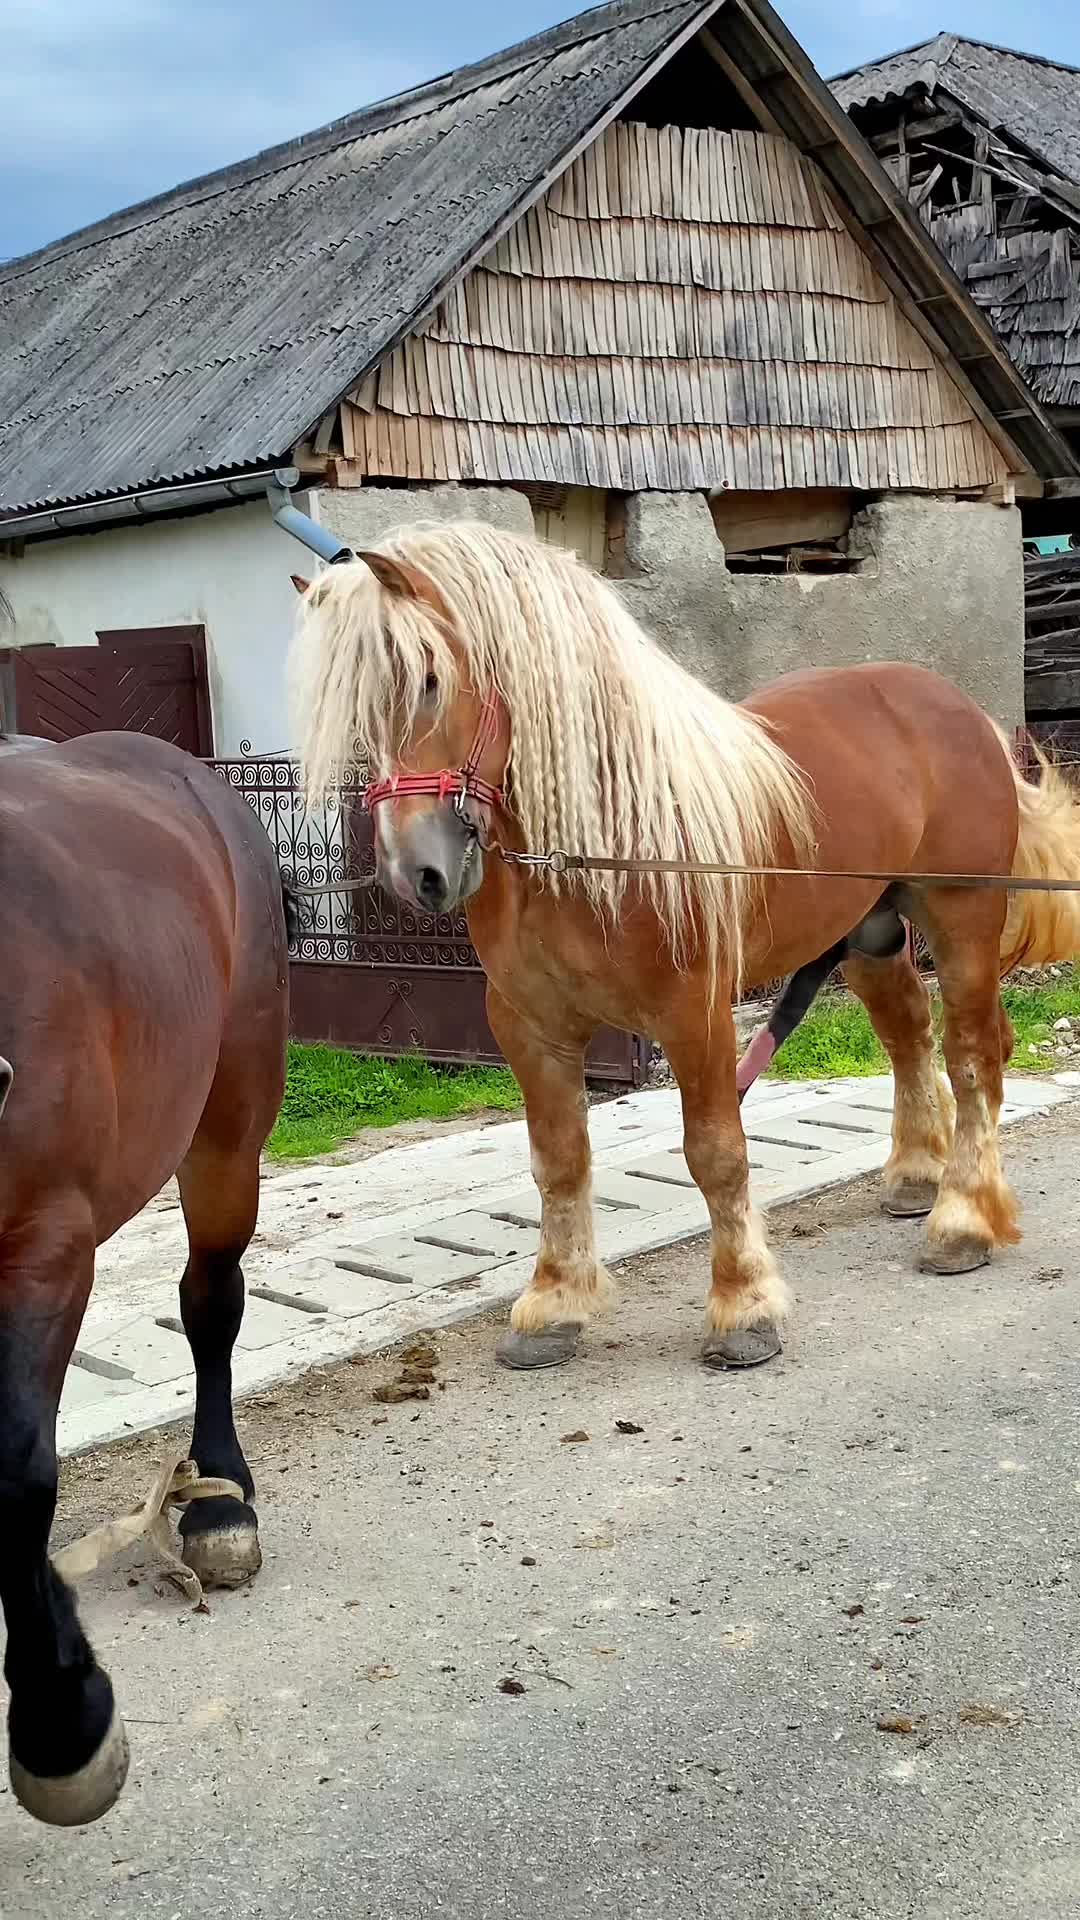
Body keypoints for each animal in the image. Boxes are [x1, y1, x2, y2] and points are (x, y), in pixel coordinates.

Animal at [0, 733, 290, 1827]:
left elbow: (14, 1471)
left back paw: (216, 1503)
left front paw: (61, 1717)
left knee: (211, 1304)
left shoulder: (43, 1242)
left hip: (227, 1129)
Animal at [292, 518, 1076, 1374]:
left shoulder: (693, 1017)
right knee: (909, 1034)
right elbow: (558, 1160)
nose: (418, 873)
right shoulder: (529, 1027)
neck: (597, 849)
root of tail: (955, 707)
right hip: (868, 931)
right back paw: (913, 1177)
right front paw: (553, 1305)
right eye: (356, 713)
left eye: (429, 681)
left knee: (973, 1055)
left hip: (961, 918)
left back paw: (961, 1221)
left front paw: (743, 1310)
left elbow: (716, 1153)